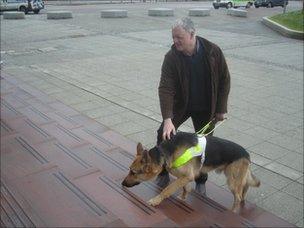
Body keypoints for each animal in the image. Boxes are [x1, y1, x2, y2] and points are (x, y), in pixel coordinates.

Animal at [122, 132, 260, 212]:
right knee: (244, 188)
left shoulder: (186, 176)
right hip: (235, 178)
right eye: (130, 170)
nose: (122, 183)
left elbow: (167, 189)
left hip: (232, 181)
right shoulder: (185, 177)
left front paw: (156, 201)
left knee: (238, 197)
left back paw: (233, 211)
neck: (165, 153)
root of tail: (246, 154)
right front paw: (183, 198)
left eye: (133, 172)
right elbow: (185, 188)